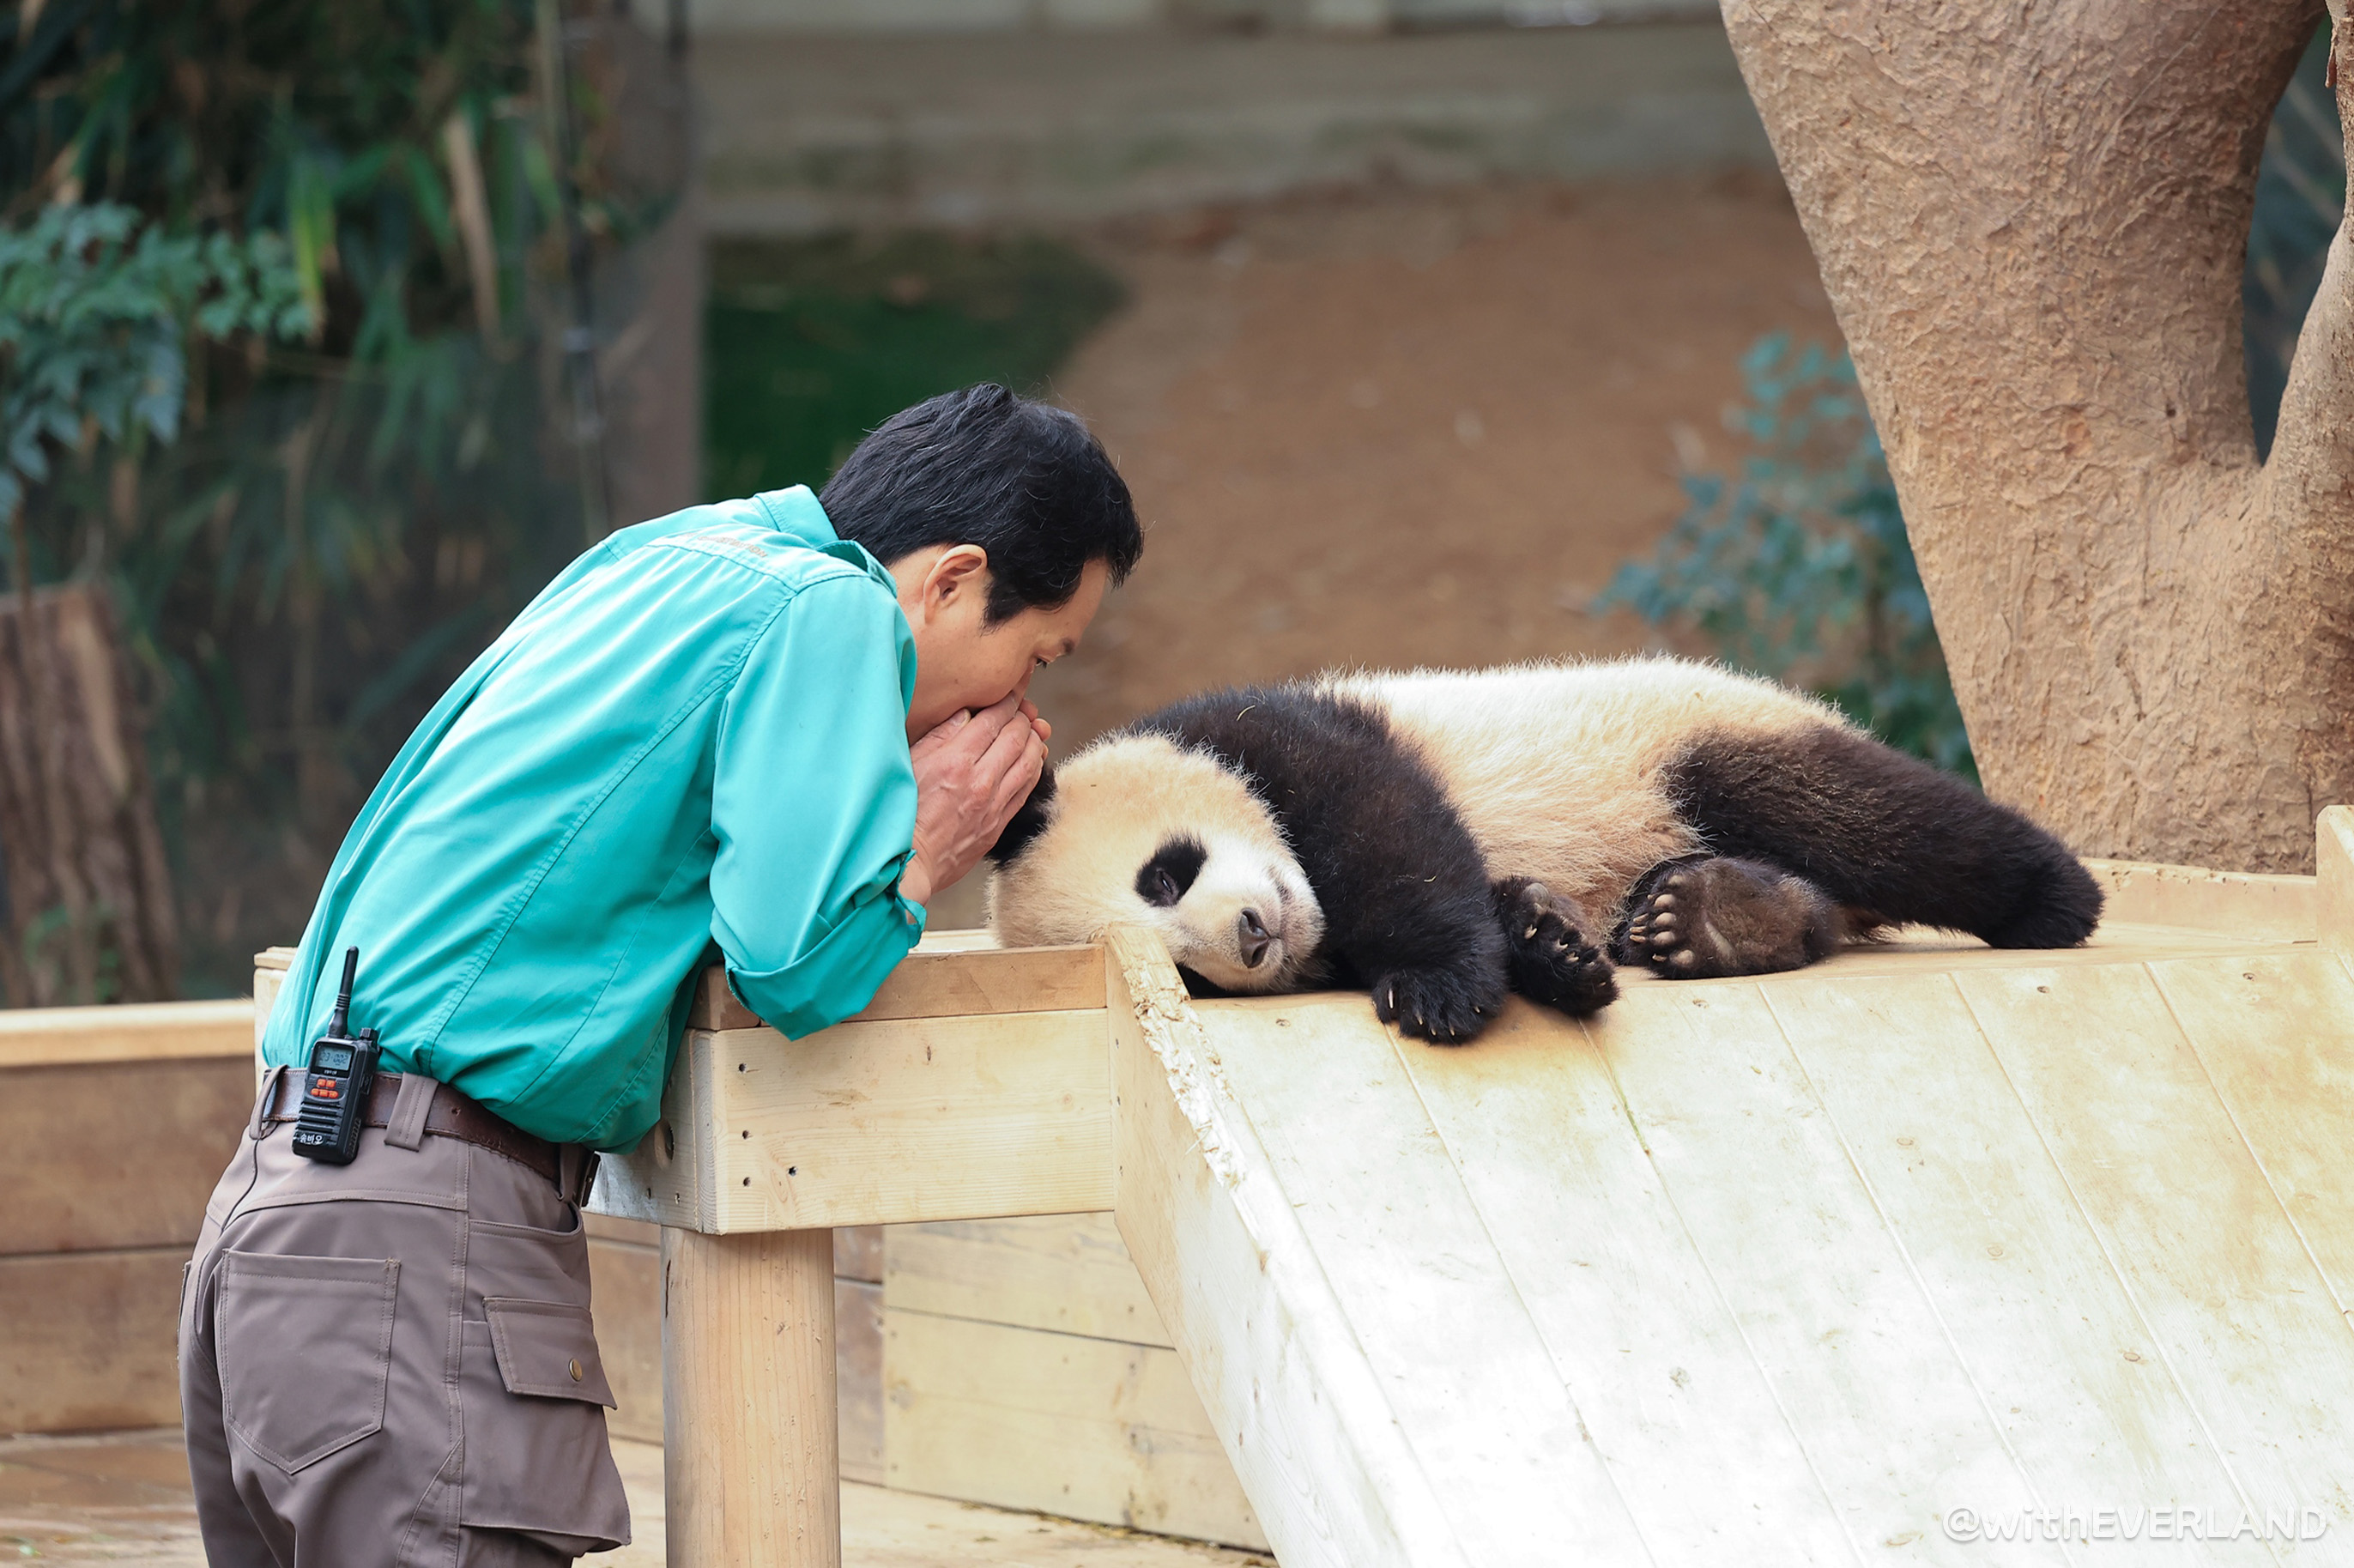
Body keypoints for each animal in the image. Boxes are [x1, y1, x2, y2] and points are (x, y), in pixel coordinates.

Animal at [986, 657, 2104, 1044]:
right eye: (1185, 978)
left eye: (1162, 874)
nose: (1254, 937)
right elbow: (1491, 902)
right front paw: (1550, 946)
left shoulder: (1286, 734)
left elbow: (1393, 838)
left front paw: (1437, 989)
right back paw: (1715, 921)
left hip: (1688, 732)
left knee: (1867, 815)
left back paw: (2054, 900)